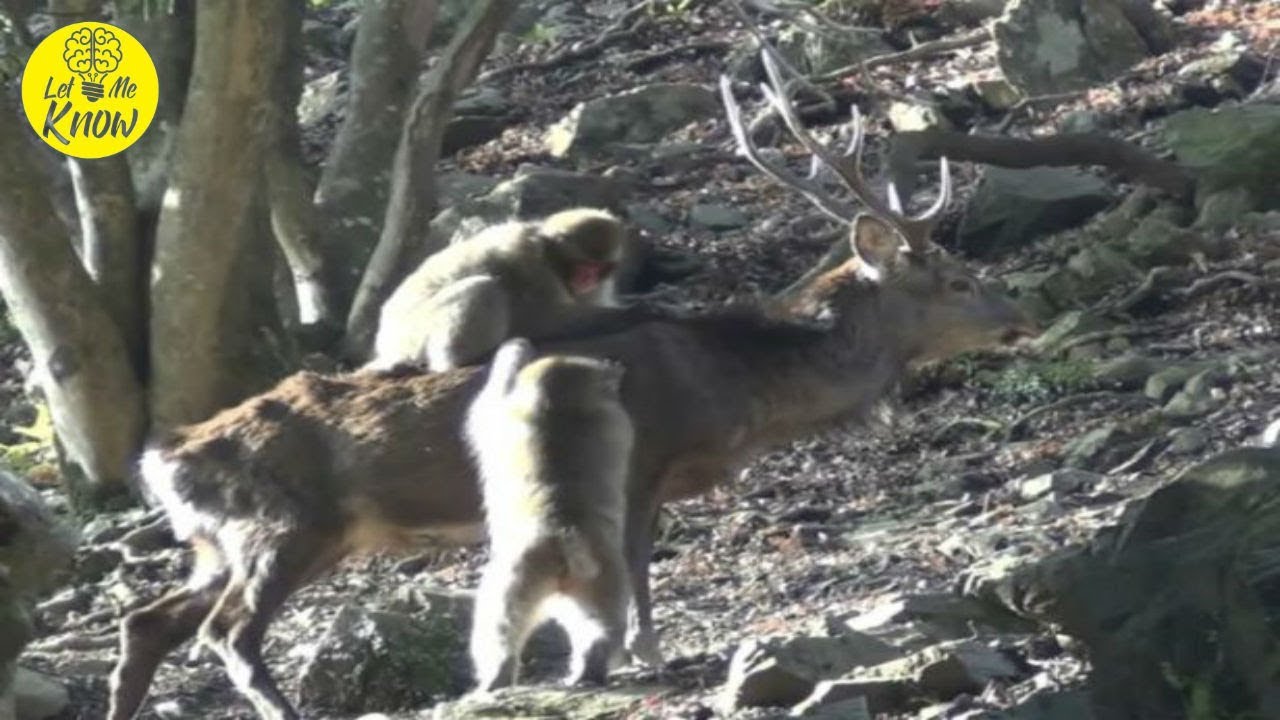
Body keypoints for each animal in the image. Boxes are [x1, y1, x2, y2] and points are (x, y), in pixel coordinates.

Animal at [368, 208, 635, 371]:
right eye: (583, 265)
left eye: (598, 268)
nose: (587, 278)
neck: (548, 251)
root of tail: (385, 344)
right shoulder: (531, 264)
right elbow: (540, 320)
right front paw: (634, 312)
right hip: (412, 334)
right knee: (485, 288)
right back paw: (462, 359)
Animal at [465, 338, 635, 690]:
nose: (615, 366)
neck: (560, 405)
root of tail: (566, 533)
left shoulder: (498, 414)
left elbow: (487, 403)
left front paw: (517, 350)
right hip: (605, 582)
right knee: (600, 630)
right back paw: (589, 671)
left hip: (513, 582)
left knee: (502, 632)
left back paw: (494, 679)